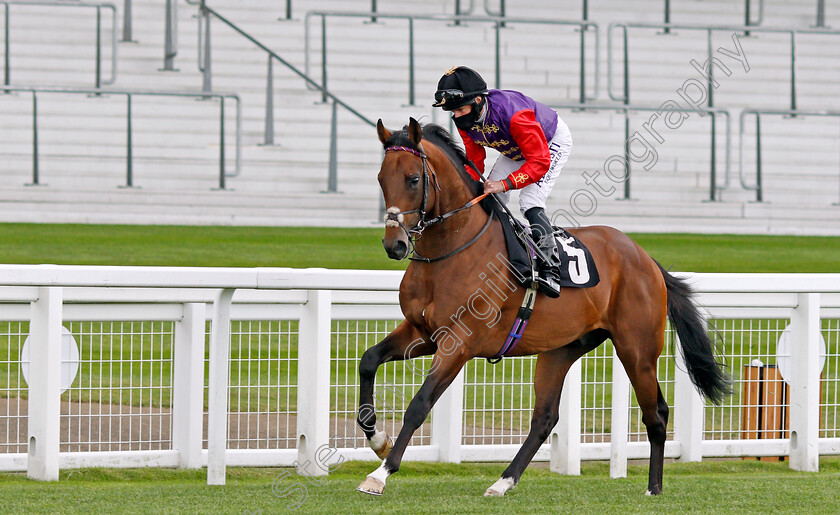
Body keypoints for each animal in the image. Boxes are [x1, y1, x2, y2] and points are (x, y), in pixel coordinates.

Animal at [354, 118, 728, 500]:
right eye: (381, 178)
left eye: (414, 179)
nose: (395, 245)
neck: (452, 250)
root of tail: (647, 259)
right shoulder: (423, 332)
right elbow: (369, 360)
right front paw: (377, 439)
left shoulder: (459, 342)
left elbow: (420, 404)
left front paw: (381, 473)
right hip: (561, 350)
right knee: (545, 418)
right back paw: (503, 481)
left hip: (637, 348)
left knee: (656, 414)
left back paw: (654, 489)